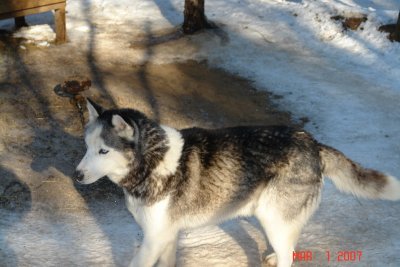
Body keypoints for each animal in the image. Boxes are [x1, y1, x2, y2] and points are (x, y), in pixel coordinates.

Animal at [75, 100, 400, 267]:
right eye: (87, 146)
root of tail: (313, 142)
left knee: (289, 256)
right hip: (273, 218)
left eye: (104, 151)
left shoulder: (154, 238)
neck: (152, 162)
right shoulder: (165, 236)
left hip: (273, 218)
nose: (77, 175)